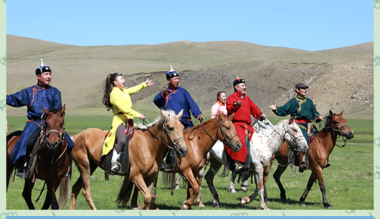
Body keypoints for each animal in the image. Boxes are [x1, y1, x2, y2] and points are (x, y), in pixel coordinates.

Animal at [59, 110, 189, 210]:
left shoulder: (151, 177)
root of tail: (76, 136)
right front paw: (135, 209)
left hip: (91, 166)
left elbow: (148, 200)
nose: (184, 150)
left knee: (75, 188)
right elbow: (147, 198)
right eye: (171, 128)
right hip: (84, 167)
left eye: (183, 127)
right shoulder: (135, 176)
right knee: (86, 192)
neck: (148, 145)